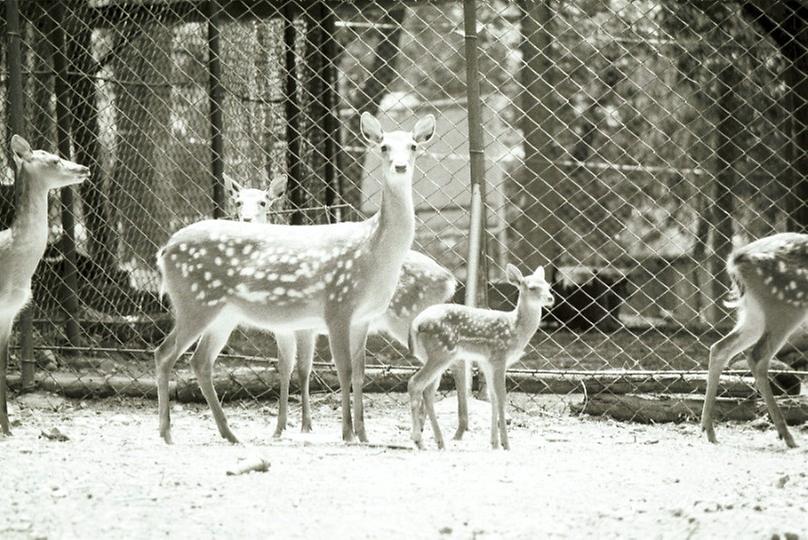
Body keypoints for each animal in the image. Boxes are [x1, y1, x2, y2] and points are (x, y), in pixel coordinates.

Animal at [155, 113, 438, 442]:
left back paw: (229, 434)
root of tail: (164, 250)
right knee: (165, 353)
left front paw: (364, 434)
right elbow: (343, 369)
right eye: (383, 146)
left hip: (223, 313)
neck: (374, 251)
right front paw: (346, 433)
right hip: (194, 301)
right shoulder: (337, 306)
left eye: (414, 145)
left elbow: (360, 371)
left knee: (199, 361)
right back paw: (167, 432)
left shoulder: (363, 317)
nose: (400, 166)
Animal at [227, 173, 464, 438]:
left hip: (406, 317)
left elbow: (302, 369)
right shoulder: (285, 328)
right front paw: (282, 427)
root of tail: (449, 280)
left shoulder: (304, 327)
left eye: (263, 202)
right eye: (237, 201)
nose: (246, 219)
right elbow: (285, 368)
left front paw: (303, 425)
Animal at [408, 264, 552, 450]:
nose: (550, 298)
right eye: (532, 287)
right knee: (415, 383)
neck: (515, 330)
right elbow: (501, 397)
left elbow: (493, 397)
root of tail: (415, 325)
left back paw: (439, 442)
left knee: (427, 391)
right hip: (441, 352)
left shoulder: (486, 362)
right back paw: (419, 441)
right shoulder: (499, 357)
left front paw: (494, 443)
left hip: (432, 356)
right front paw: (506, 444)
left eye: (548, 286)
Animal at [700, 232, 808, 448]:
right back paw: (787, 436)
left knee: (720, 348)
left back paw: (709, 430)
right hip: (787, 307)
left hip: (753, 312)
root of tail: (736, 260)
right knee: (758, 356)